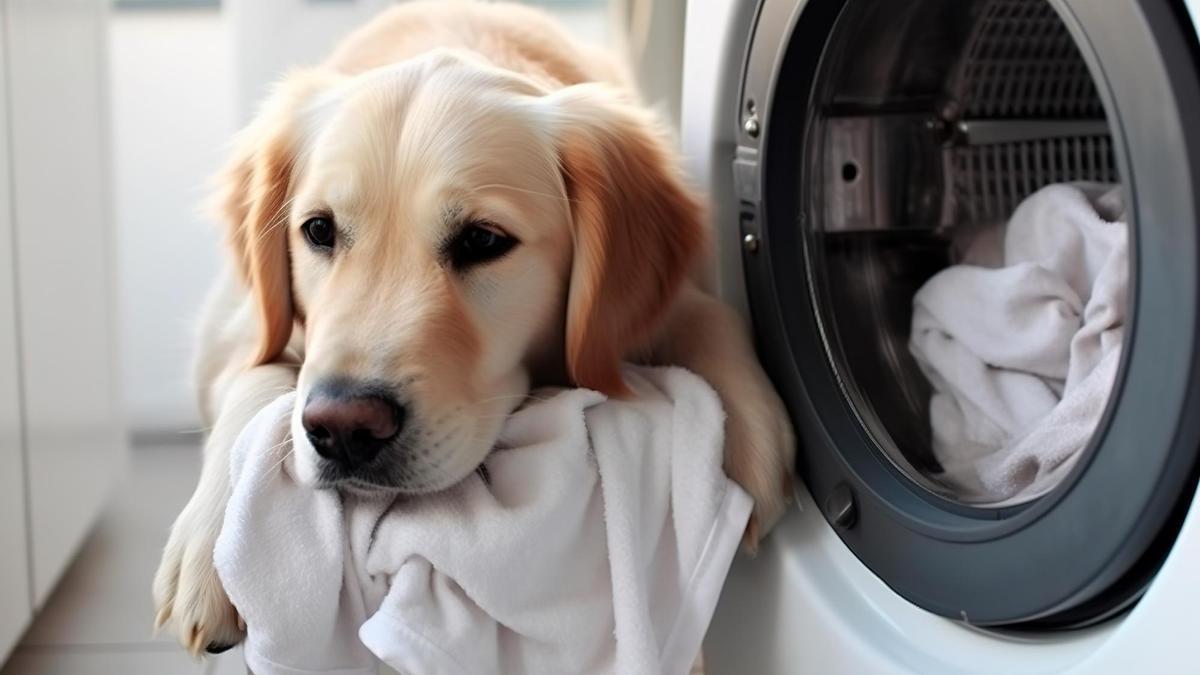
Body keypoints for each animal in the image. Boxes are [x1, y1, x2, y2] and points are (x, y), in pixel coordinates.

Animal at [157, 0, 796, 653]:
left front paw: (751, 435)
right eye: (318, 230)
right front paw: (209, 549)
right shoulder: (231, 332)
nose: (344, 428)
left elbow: (708, 312)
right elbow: (257, 375)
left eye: (483, 241)